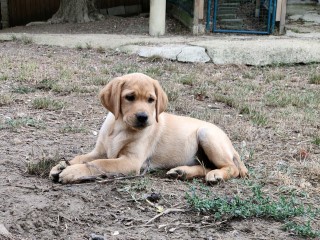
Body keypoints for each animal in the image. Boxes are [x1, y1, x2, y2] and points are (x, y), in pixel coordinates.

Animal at [51, 72, 249, 183]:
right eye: (129, 97)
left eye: (151, 100)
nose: (143, 117)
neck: (120, 127)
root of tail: (232, 147)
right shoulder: (99, 150)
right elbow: (82, 157)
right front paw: (61, 165)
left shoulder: (131, 161)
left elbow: (99, 163)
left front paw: (72, 171)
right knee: (205, 166)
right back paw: (181, 172)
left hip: (206, 134)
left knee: (232, 168)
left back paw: (216, 175)